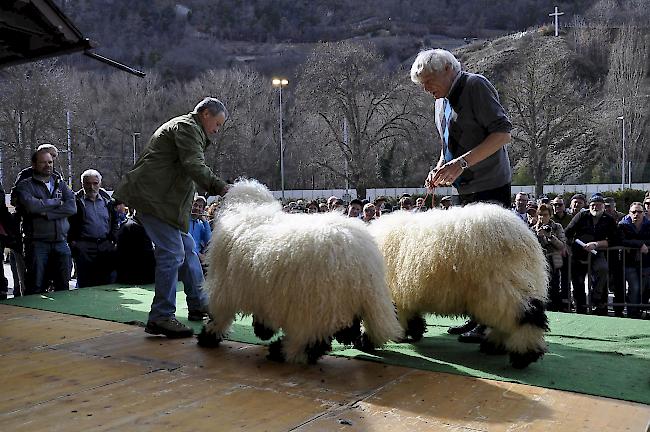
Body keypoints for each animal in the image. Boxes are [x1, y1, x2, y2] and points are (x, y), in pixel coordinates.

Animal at [197, 179, 400, 364]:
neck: (249, 208)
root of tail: (364, 259)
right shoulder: (263, 290)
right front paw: (263, 330)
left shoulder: (226, 287)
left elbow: (220, 316)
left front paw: (209, 336)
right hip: (343, 300)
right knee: (336, 331)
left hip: (316, 303)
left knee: (308, 338)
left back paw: (280, 351)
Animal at [370, 202, 548, 368]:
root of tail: (521, 235)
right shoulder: (405, 295)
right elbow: (412, 316)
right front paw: (414, 331)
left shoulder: (395, 295)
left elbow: (399, 316)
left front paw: (402, 335)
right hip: (514, 284)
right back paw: (494, 346)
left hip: (501, 284)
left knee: (528, 317)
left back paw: (523, 356)